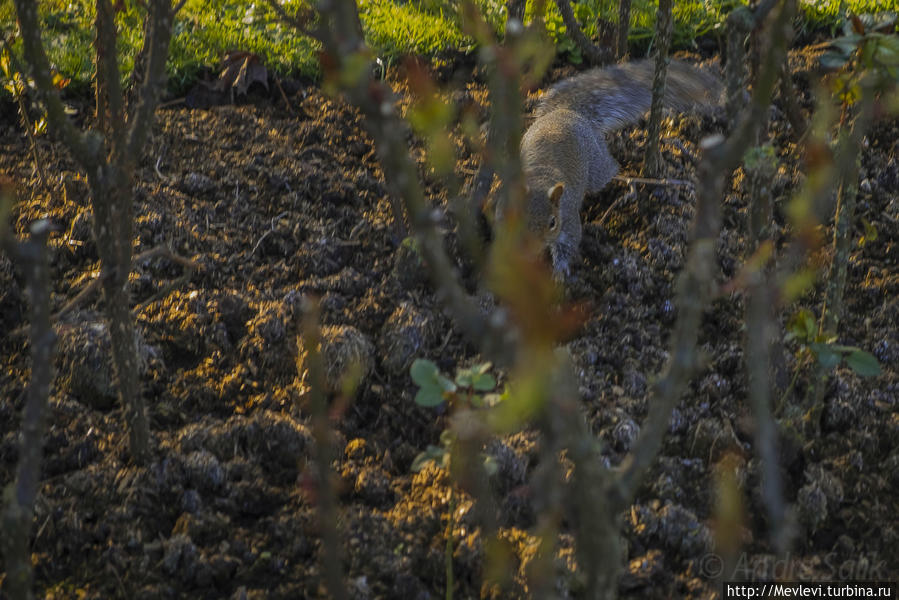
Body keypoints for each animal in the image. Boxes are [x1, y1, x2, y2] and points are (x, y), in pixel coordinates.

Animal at [500, 58, 724, 278]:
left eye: (553, 222)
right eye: (519, 218)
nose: (531, 247)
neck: (539, 178)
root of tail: (566, 112)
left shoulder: (568, 218)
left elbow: (569, 243)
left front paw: (560, 272)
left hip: (597, 166)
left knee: (610, 168)